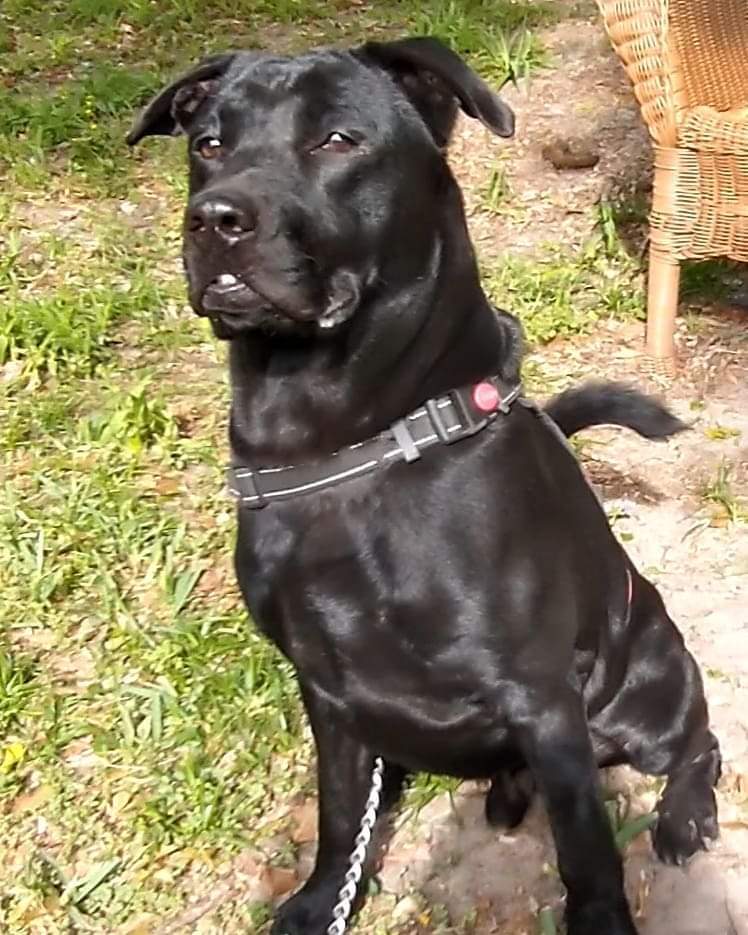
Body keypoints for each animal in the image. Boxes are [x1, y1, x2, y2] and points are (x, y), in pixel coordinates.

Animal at [129, 38, 720, 935]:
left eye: (338, 139)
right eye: (209, 144)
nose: (215, 219)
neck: (344, 445)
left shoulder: (543, 699)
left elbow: (587, 853)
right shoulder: (328, 689)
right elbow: (342, 813)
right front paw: (320, 899)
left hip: (648, 686)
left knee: (698, 742)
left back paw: (683, 814)